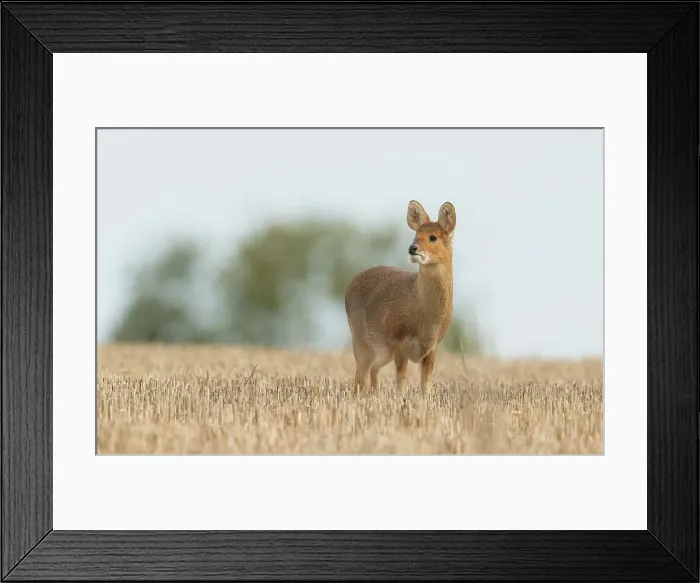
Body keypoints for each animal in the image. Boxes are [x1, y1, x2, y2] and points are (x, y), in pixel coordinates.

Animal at [344, 200, 456, 394]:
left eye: (433, 237)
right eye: (416, 235)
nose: (412, 248)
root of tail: (350, 284)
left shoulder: (432, 348)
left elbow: (426, 386)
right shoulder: (399, 342)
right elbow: (401, 383)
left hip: (381, 351)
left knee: (372, 371)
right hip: (361, 341)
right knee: (360, 377)